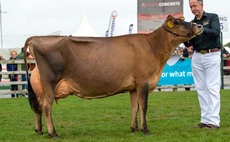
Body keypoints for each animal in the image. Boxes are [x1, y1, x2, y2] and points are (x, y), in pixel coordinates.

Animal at [23, 15, 203, 137]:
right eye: (178, 22)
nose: (199, 25)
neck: (153, 45)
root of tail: (36, 38)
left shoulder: (133, 87)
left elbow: (134, 107)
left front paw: (134, 128)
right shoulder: (143, 82)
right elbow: (144, 106)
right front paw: (145, 129)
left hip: (41, 88)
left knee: (38, 107)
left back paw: (39, 130)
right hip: (50, 83)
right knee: (47, 107)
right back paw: (53, 133)